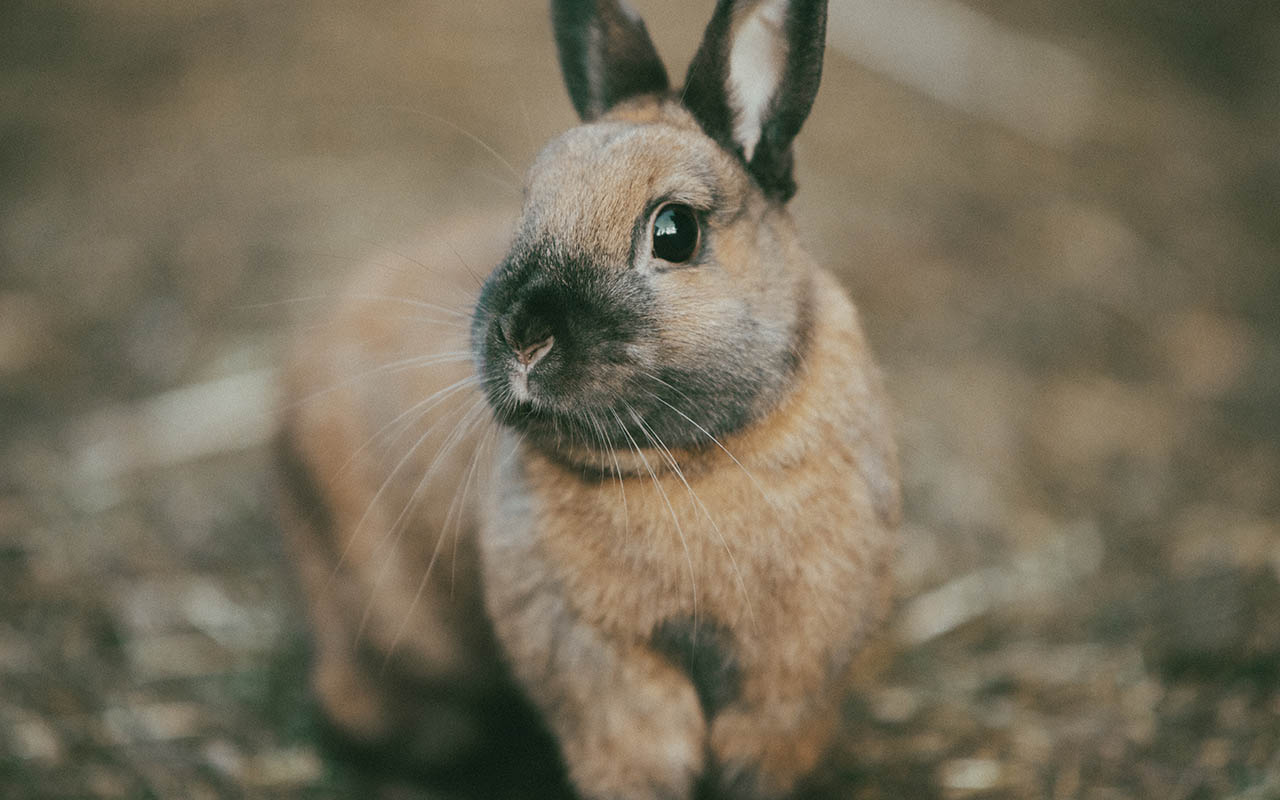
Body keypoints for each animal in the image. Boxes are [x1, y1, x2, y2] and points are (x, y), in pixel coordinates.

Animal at [280, 1, 901, 798]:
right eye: (526, 210)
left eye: (675, 231)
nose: (524, 334)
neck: (689, 463)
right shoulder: (595, 661)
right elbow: (641, 752)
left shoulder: (794, 671)